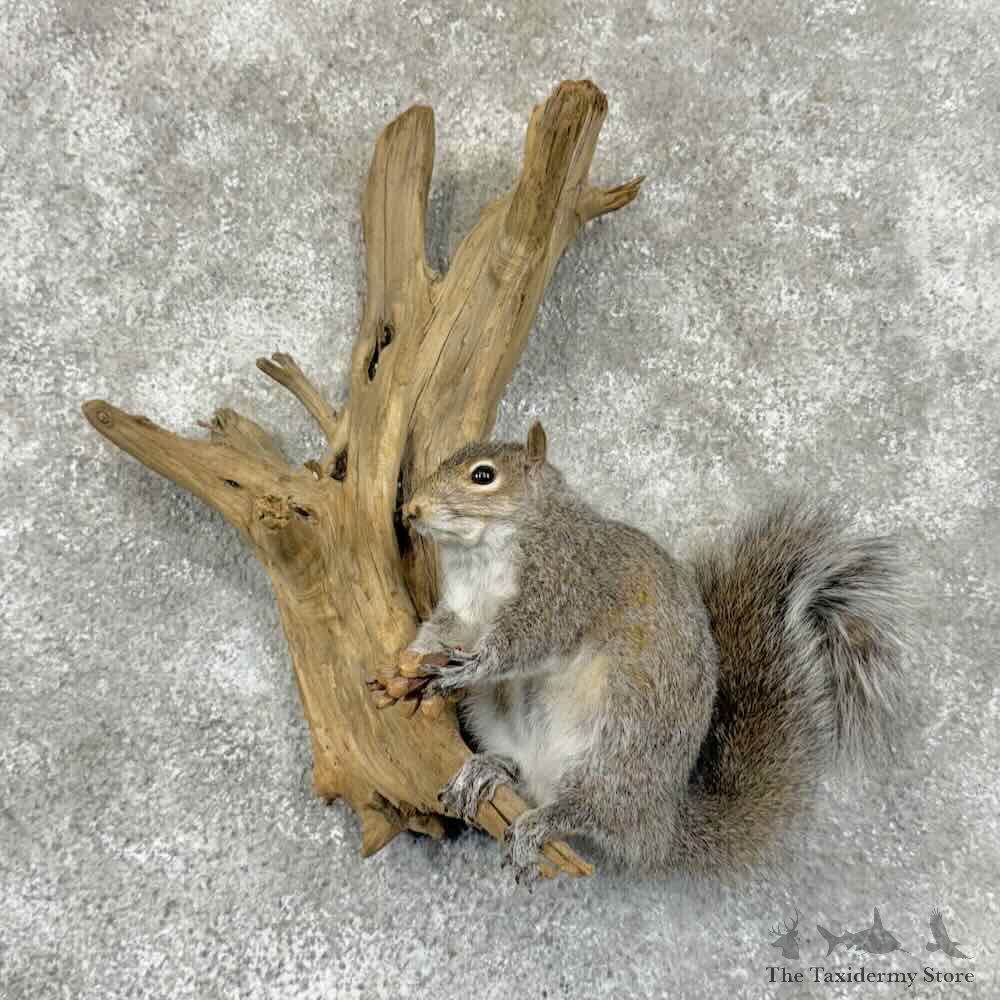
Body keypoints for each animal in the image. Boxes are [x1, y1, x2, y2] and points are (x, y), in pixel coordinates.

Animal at [378, 421, 907, 882]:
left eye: (483, 476)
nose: (412, 510)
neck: (486, 554)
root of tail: (660, 823)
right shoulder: (463, 611)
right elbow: (442, 632)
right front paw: (403, 666)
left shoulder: (566, 588)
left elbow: (524, 642)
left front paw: (469, 667)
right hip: (500, 720)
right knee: (527, 776)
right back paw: (488, 768)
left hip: (620, 740)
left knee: (589, 810)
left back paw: (541, 823)